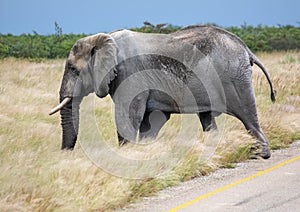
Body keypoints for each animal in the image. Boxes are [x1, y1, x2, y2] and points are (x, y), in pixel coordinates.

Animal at [49, 24, 276, 158]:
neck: (103, 37)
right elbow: (151, 121)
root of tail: (246, 49)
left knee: (246, 113)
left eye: (73, 69)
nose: (65, 155)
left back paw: (259, 153)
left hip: (234, 77)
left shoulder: (130, 74)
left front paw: (126, 157)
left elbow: (129, 115)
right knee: (208, 118)